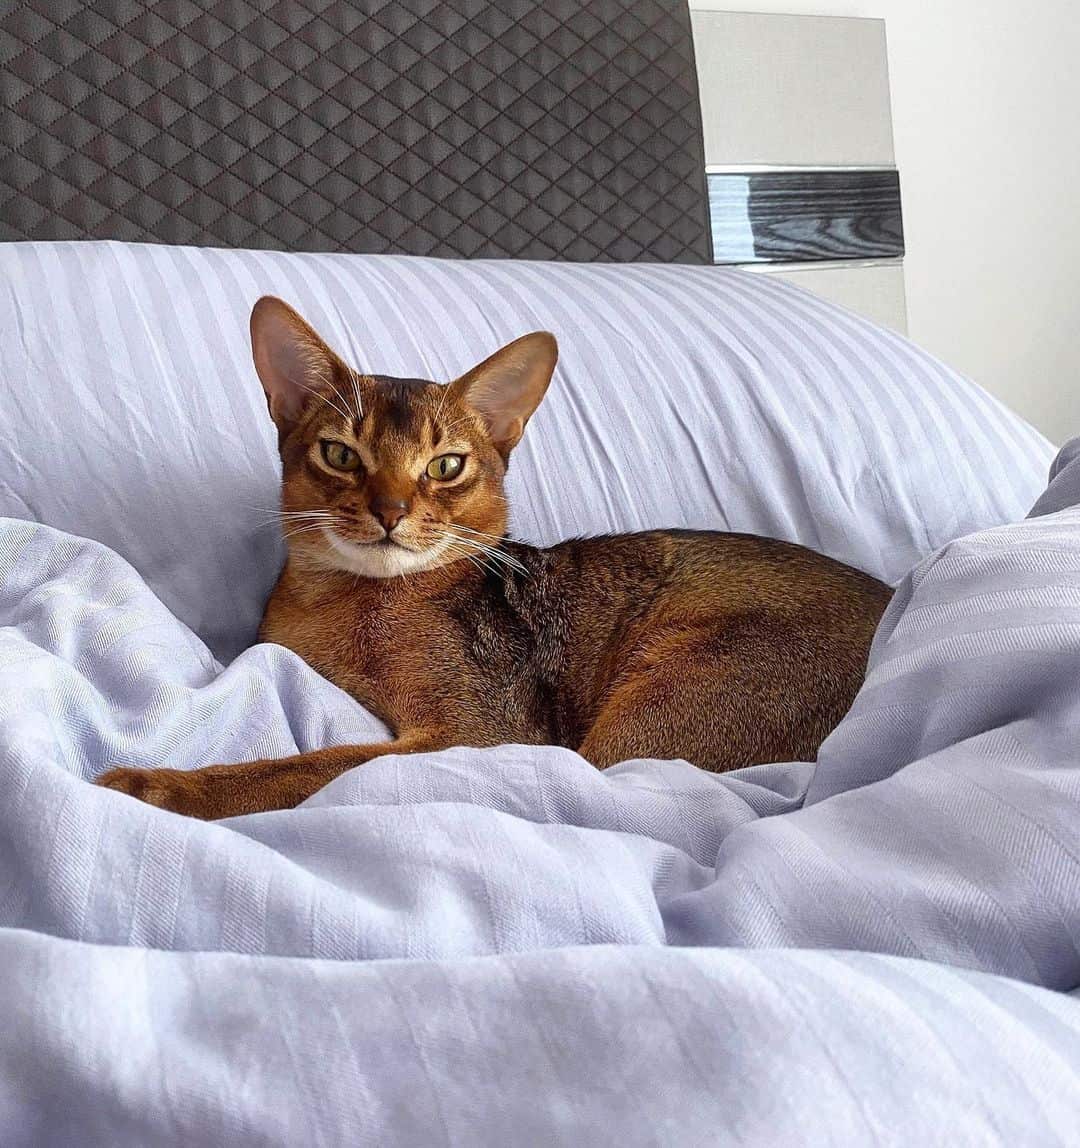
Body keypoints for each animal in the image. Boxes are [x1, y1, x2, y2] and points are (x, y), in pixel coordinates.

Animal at [99, 296, 895, 817]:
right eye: (340, 454)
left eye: (445, 466)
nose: (391, 512)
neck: (344, 604)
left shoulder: (480, 735)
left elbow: (308, 768)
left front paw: (156, 786)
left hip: (649, 724)